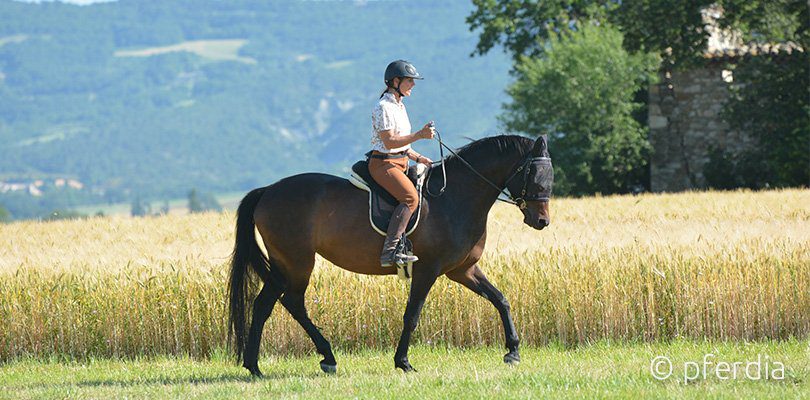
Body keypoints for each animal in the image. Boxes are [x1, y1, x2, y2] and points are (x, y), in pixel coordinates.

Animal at [230, 134, 552, 376]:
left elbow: (500, 299)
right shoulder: (428, 269)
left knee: (266, 305)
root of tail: (268, 191)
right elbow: (412, 314)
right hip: (297, 263)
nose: (542, 221)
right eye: (534, 174)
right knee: (292, 303)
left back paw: (256, 366)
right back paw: (321, 357)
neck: (455, 198)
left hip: (284, 265)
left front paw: (513, 351)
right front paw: (403, 362)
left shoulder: (463, 270)